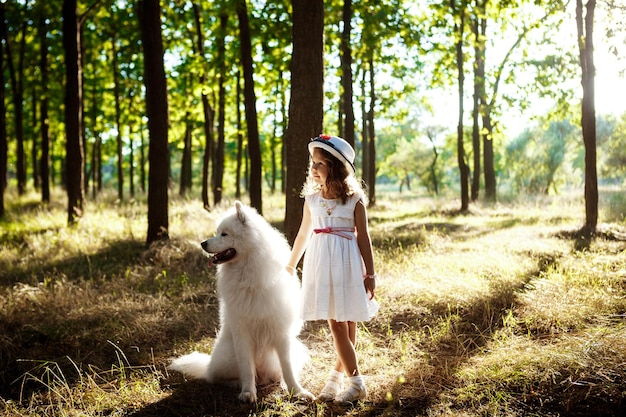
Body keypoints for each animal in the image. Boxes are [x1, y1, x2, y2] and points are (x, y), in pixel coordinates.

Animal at [168, 202, 314, 404]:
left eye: (224, 234)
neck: (248, 275)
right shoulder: (242, 333)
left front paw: (297, 391)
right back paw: (237, 383)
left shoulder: (281, 333)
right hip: (227, 356)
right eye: (217, 232)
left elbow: (288, 366)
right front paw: (248, 392)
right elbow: (247, 367)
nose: (203, 243)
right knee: (215, 376)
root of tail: (208, 364)